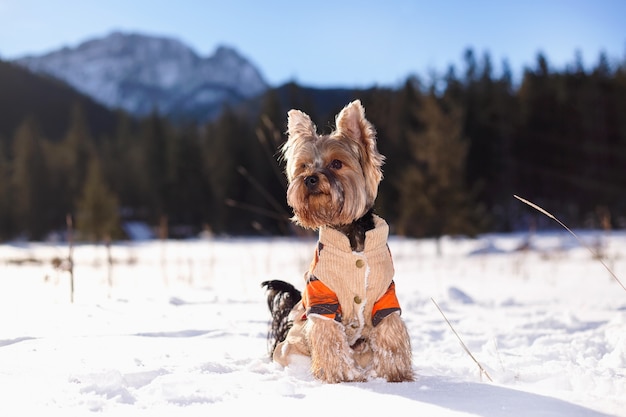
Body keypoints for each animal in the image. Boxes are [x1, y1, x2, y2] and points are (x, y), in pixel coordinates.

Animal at [260, 99, 412, 382]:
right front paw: (340, 376)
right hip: (292, 345)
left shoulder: (385, 296)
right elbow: (329, 337)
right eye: (304, 166)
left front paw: (396, 375)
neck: (349, 233)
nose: (310, 179)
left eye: (337, 164)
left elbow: (390, 330)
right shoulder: (323, 299)